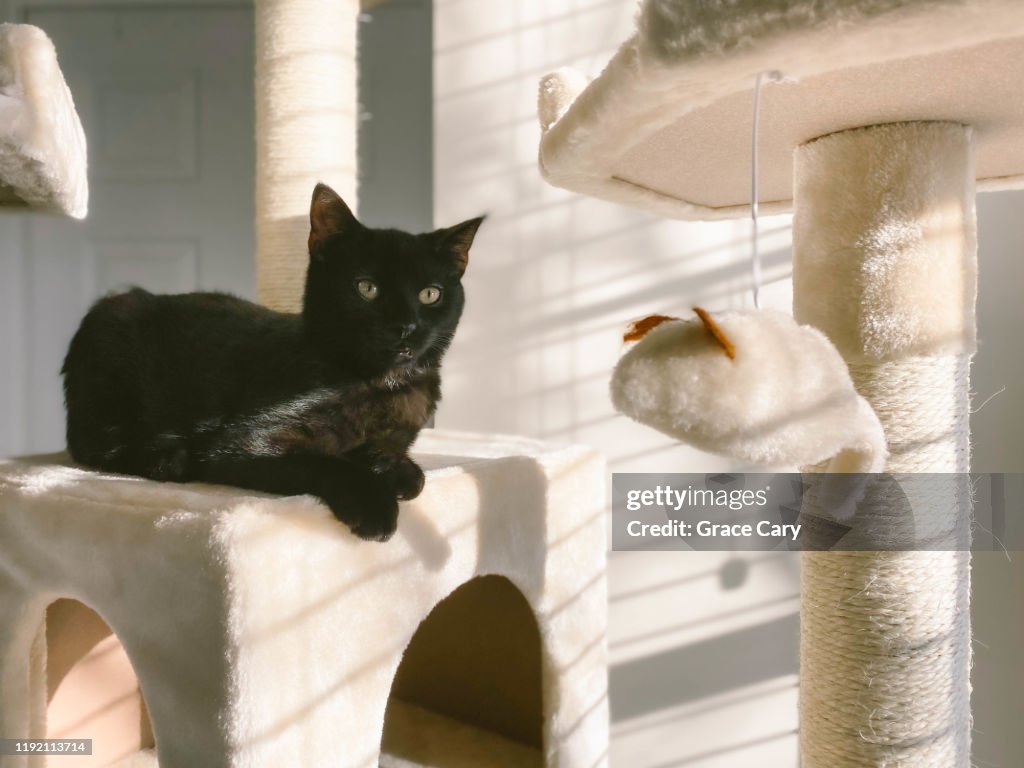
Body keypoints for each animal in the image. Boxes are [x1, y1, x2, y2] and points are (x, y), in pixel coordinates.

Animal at [61, 184, 485, 540]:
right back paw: (168, 460)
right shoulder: (242, 442)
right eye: (367, 287)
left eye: (430, 294)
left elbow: (403, 465)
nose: (405, 327)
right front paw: (375, 506)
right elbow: (327, 463)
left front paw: (394, 470)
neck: (378, 384)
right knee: (93, 444)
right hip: (110, 349)